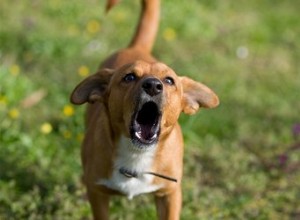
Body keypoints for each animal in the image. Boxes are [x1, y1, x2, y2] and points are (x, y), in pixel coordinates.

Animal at [70, 0, 218, 220]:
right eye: (129, 77)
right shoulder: (97, 192)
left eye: (169, 80)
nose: (153, 85)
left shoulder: (170, 194)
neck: (137, 155)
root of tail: (136, 46)